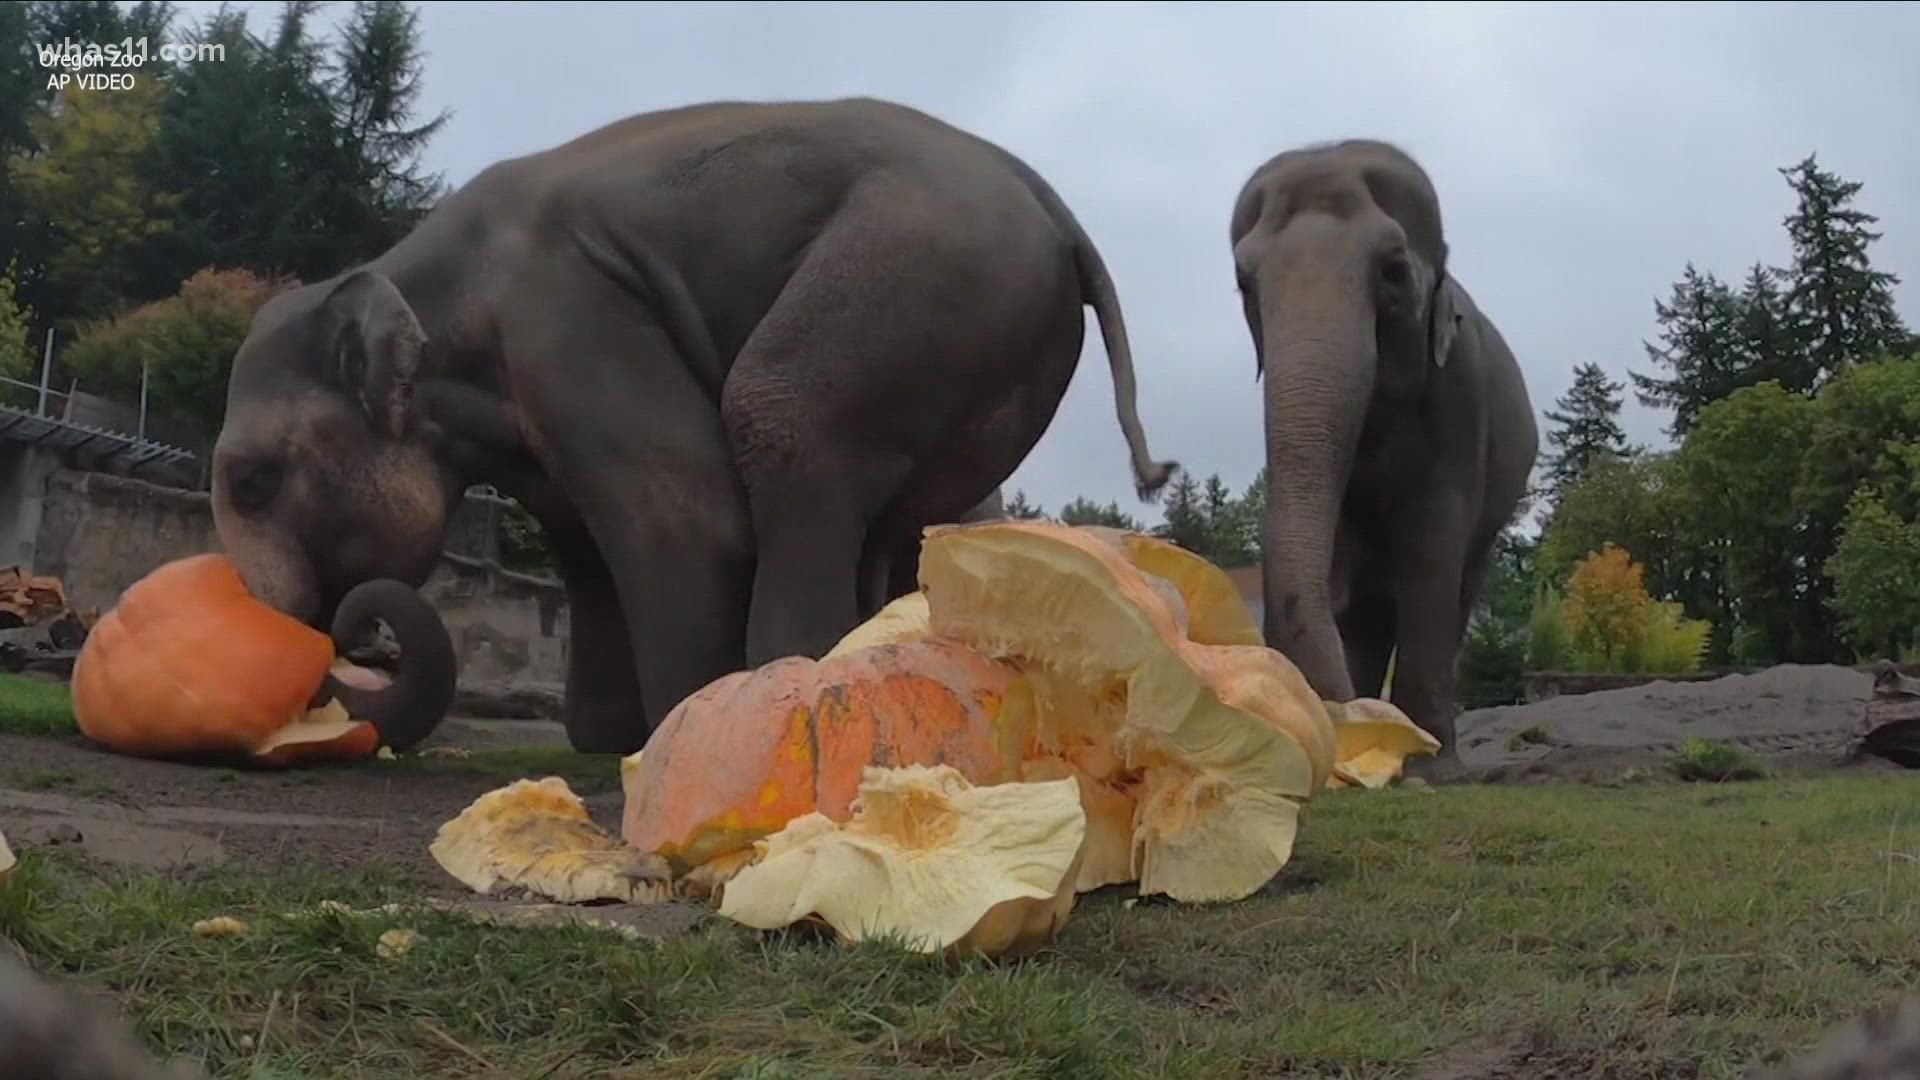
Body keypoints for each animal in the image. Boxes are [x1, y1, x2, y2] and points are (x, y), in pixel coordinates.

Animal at [206, 96, 1167, 753]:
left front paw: (672, 733)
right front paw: (609, 736)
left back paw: (784, 684)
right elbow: (585, 545)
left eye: (253, 483)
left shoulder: (568, 312)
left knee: (781, 418)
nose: (343, 633)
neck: (413, 273)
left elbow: (690, 519)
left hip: (919, 266)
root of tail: (1057, 212)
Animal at [1228, 138, 1543, 772]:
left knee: (1458, 586)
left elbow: (1431, 552)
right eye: (1243, 282)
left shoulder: (1460, 400)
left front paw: (1430, 771)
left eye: (1394, 271)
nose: (1333, 713)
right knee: (1369, 607)